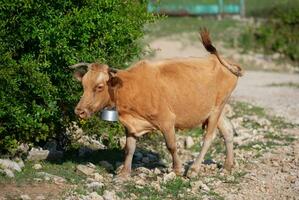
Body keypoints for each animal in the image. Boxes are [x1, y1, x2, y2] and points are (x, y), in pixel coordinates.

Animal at [72, 28, 244, 178]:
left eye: (99, 86)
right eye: (83, 85)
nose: (79, 111)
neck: (130, 87)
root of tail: (219, 61)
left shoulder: (167, 120)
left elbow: (171, 145)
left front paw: (177, 169)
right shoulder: (131, 125)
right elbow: (129, 148)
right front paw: (124, 174)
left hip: (216, 108)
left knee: (209, 137)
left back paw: (194, 169)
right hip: (214, 108)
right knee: (228, 130)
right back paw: (228, 165)